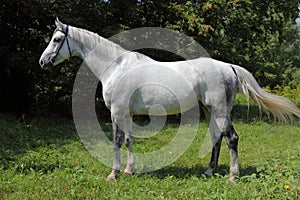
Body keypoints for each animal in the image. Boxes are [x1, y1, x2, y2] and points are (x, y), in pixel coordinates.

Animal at [39, 18, 300, 181]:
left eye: (56, 40)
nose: (43, 62)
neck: (115, 66)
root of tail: (228, 67)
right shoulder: (126, 114)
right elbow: (129, 141)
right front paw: (129, 170)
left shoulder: (117, 112)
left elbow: (117, 141)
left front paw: (114, 174)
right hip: (211, 110)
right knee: (217, 137)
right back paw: (209, 172)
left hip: (220, 110)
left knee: (232, 138)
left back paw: (233, 176)